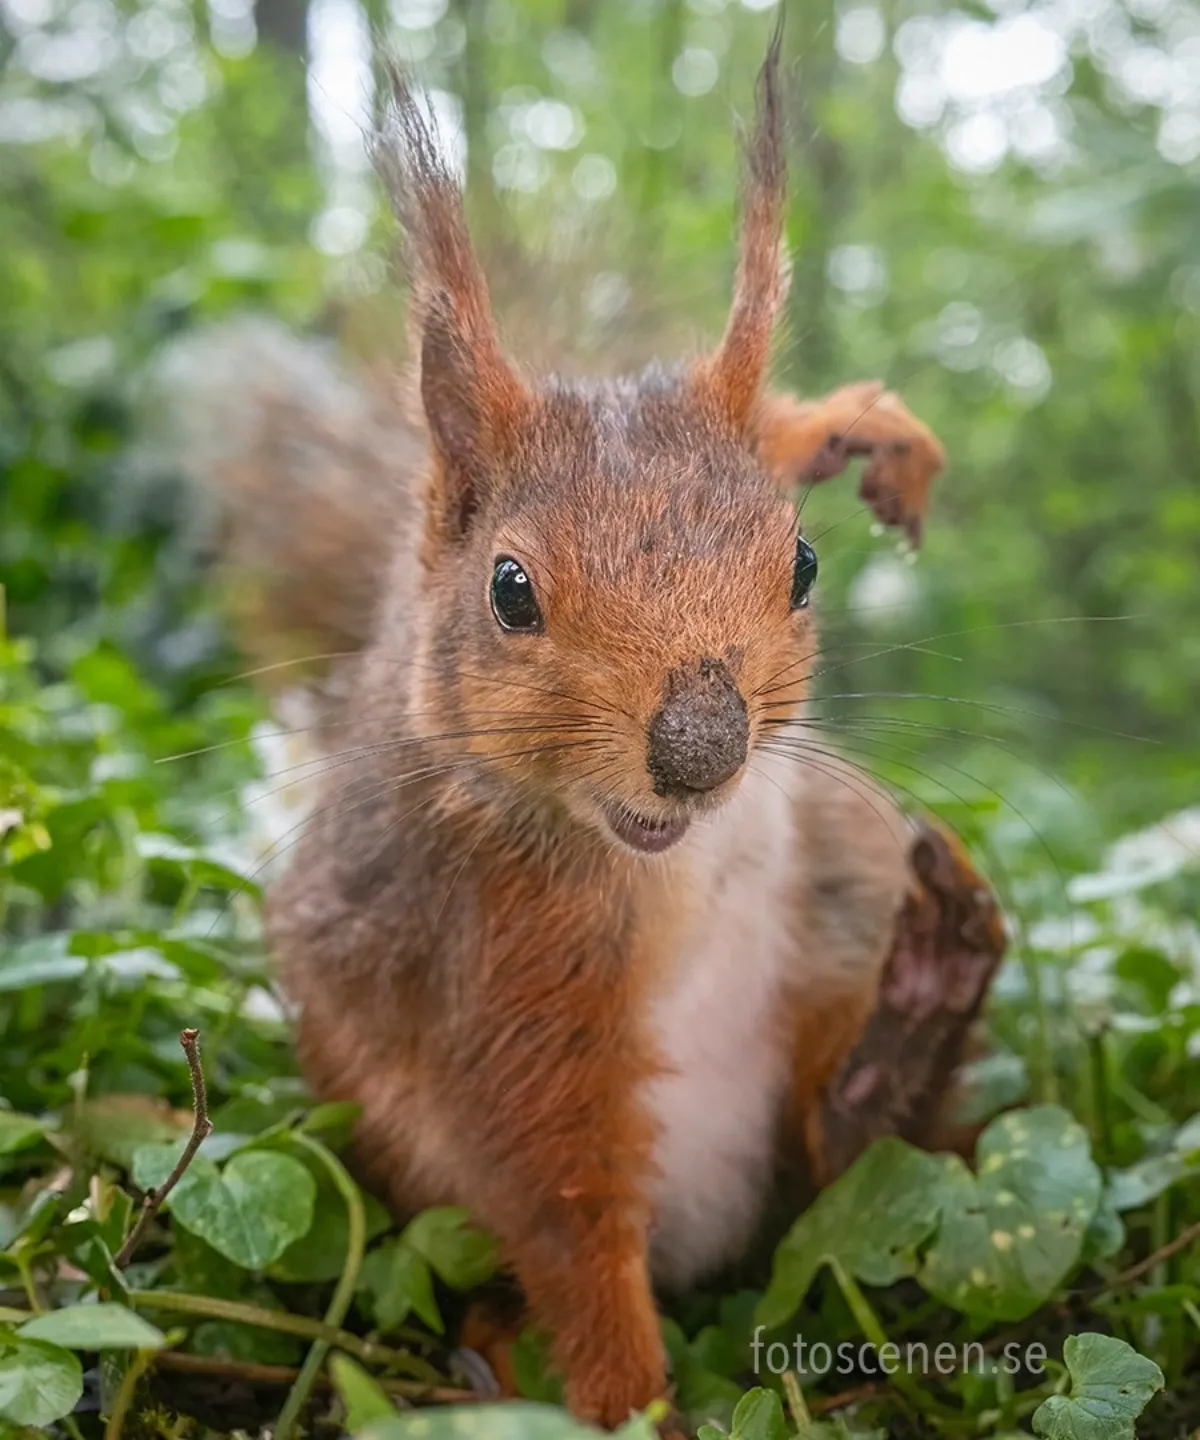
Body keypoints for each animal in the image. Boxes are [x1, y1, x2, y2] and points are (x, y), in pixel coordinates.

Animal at [195, 36, 1002, 1440]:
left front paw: (843, 424)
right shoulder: (501, 965)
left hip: (847, 882)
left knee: (840, 1167)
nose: (702, 747)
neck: (653, 863)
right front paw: (636, 1404)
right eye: (510, 591)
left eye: (802, 564)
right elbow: (568, 1215)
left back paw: (923, 1001)